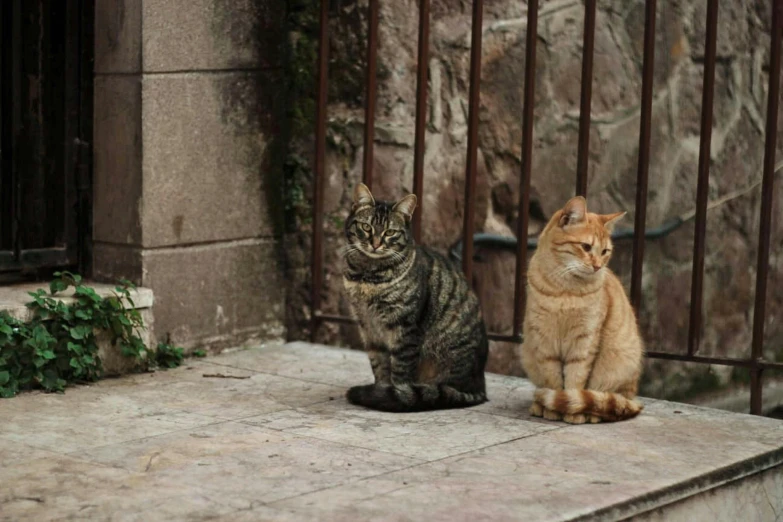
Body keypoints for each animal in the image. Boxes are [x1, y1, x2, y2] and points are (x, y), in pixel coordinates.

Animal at [344, 183, 490, 410]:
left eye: (390, 232)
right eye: (366, 227)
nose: (375, 244)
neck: (367, 274)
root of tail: (480, 388)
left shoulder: (405, 329)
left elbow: (400, 373)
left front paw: (393, 397)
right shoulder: (368, 328)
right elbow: (379, 367)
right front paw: (379, 391)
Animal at [520, 195, 644, 422]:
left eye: (604, 252)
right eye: (586, 247)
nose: (597, 266)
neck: (565, 291)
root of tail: (634, 398)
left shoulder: (584, 341)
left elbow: (574, 380)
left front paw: (570, 410)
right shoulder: (545, 341)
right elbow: (553, 380)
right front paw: (553, 410)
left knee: (608, 400)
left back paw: (591, 412)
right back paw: (539, 405)